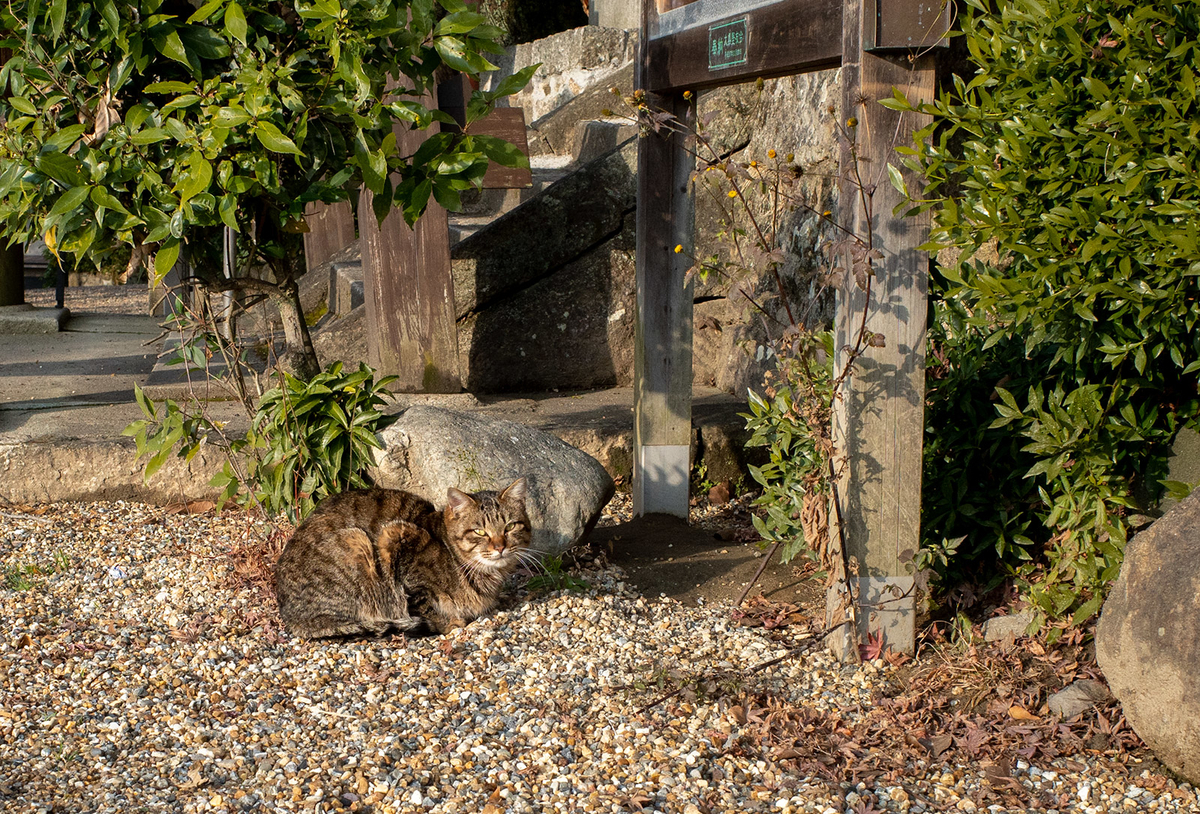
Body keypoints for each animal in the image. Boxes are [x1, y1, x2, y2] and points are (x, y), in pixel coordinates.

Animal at [276, 482, 535, 638]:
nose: (500, 547)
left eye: (510, 527)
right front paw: (449, 623)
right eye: (480, 532)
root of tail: (289, 616)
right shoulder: (395, 539)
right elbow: (424, 603)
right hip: (358, 543)